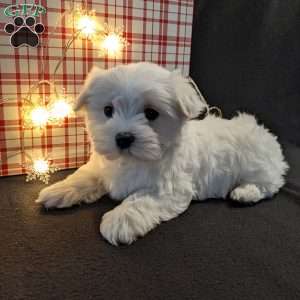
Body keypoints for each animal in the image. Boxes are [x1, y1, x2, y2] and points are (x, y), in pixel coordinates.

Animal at [35, 62, 288, 245]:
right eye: (107, 110)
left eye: (151, 113)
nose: (123, 138)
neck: (133, 160)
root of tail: (265, 134)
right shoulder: (102, 167)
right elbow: (84, 176)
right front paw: (58, 190)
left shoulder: (170, 188)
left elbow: (140, 199)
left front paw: (119, 219)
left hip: (258, 165)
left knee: (270, 184)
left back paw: (245, 193)